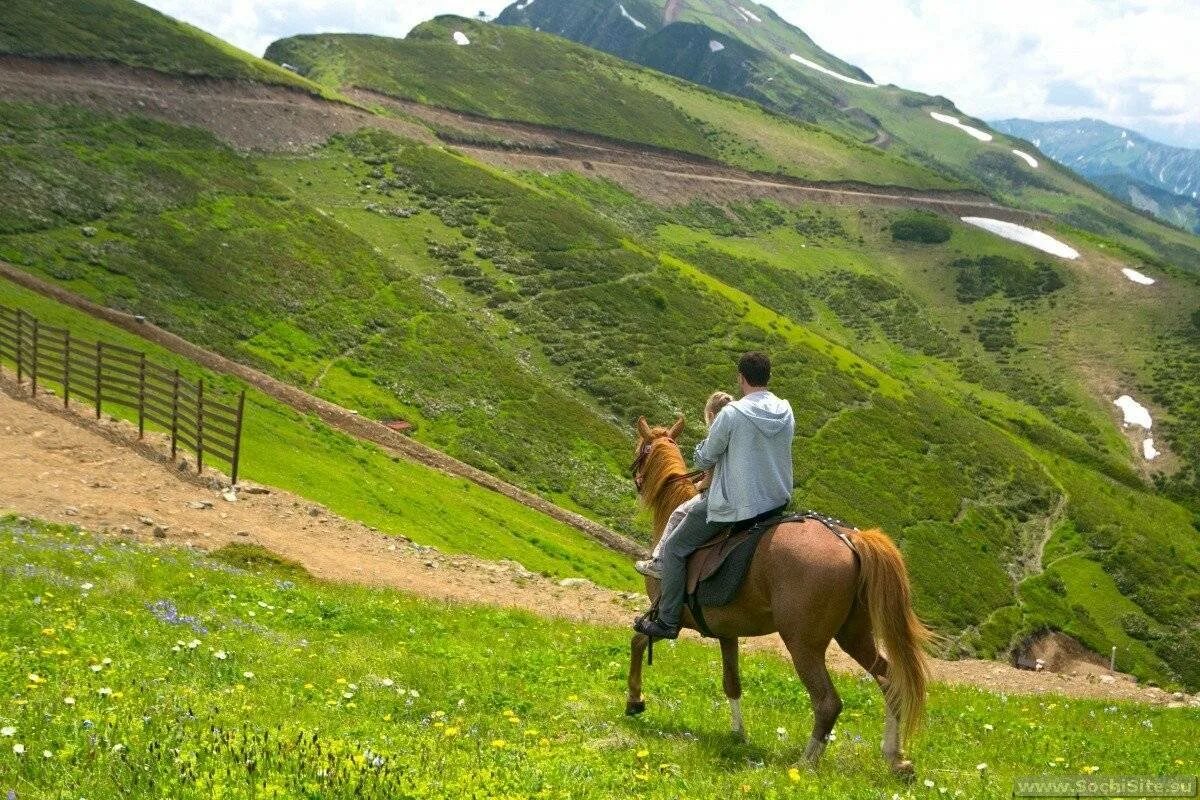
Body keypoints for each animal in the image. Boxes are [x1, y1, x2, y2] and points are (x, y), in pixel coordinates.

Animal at [628, 417, 936, 777]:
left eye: (640, 449)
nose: (634, 476)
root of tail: (848, 538)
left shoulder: (665, 617)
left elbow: (638, 641)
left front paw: (634, 700)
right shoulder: (727, 633)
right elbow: (732, 682)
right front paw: (738, 734)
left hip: (804, 644)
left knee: (828, 702)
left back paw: (805, 764)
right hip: (855, 635)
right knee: (889, 682)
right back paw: (896, 758)